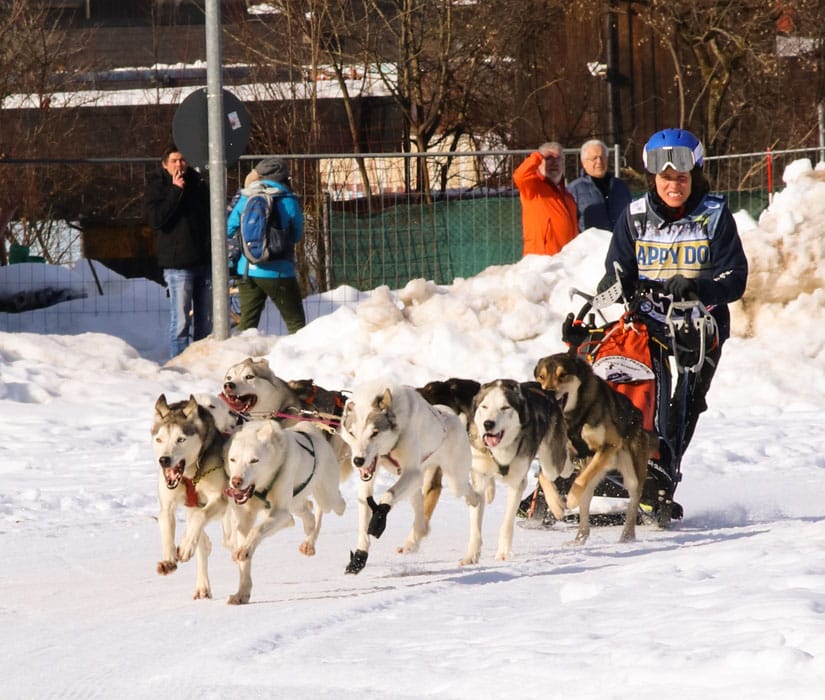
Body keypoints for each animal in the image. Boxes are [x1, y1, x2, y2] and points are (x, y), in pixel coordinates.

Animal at [150, 396, 229, 600]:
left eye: (181, 439)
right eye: (159, 439)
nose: (164, 460)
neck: (190, 474)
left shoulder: (220, 499)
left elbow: (200, 517)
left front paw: (185, 547)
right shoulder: (167, 506)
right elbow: (167, 528)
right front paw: (169, 559)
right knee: (203, 543)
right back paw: (202, 586)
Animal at [222, 418, 344, 604]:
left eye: (254, 460)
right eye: (233, 459)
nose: (236, 481)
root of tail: (309, 427)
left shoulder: (280, 512)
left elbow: (257, 530)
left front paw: (244, 549)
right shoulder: (244, 519)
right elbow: (245, 557)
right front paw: (242, 593)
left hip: (327, 497)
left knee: (333, 505)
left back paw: (311, 540)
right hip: (294, 502)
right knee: (306, 511)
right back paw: (309, 530)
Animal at [338, 382, 480, 576]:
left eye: (374, 433)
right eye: (352, 433)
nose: (358, 461)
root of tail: (450, 415)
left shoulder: (412, 473)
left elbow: (387, 495)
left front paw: (379, 518)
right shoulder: (367, 480)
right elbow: (364, 514)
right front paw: (359, 557)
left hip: (454, 480)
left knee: (474, 497)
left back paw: (473, 546)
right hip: (415, 484)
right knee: (421, 518)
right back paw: (413, 540)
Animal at [464, 378, 572, 564]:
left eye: (504, 408)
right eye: (484, 407)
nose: (488, 424)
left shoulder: (516, 483)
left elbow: (507, 524)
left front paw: (503, 553)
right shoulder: (478, 476)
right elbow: (475, 524)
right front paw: (472, 555)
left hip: (552, 462)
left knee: (552, 472)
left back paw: (557, 504)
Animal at [536, 352, 656, 544]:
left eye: (563, 375)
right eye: (541, 376)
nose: (549, 392)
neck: (574, 419)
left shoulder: (609, 445)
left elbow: (579, 481)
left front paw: (570, 499)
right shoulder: (560, 454)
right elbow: (543, 476)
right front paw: (556, 505)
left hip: (632, 473)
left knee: (633, 501)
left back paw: (627, 536)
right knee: (585, 502)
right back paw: (579, 538)